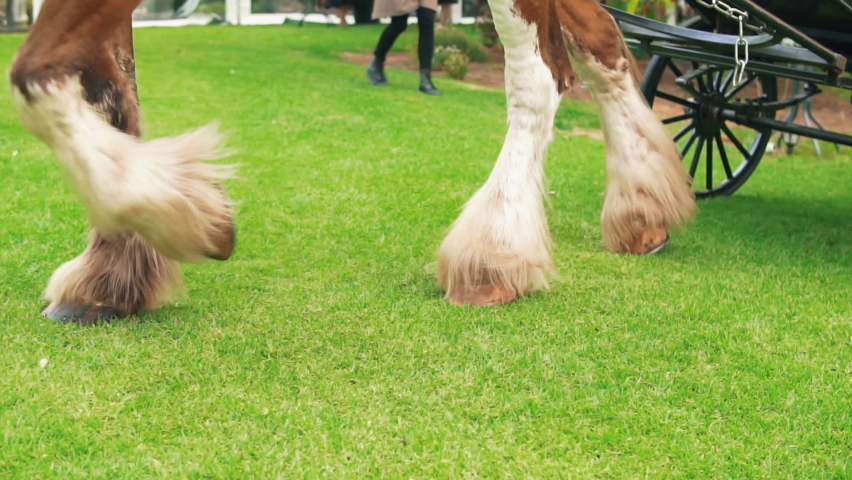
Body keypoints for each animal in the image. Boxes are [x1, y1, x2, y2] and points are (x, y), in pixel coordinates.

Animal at [9, 0, 694, 323]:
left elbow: (36, 75)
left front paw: (180, 213)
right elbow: (106, 86)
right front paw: (113, 269)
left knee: (543, 73)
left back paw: (495, 251)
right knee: (602, 45)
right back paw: (642, 207)